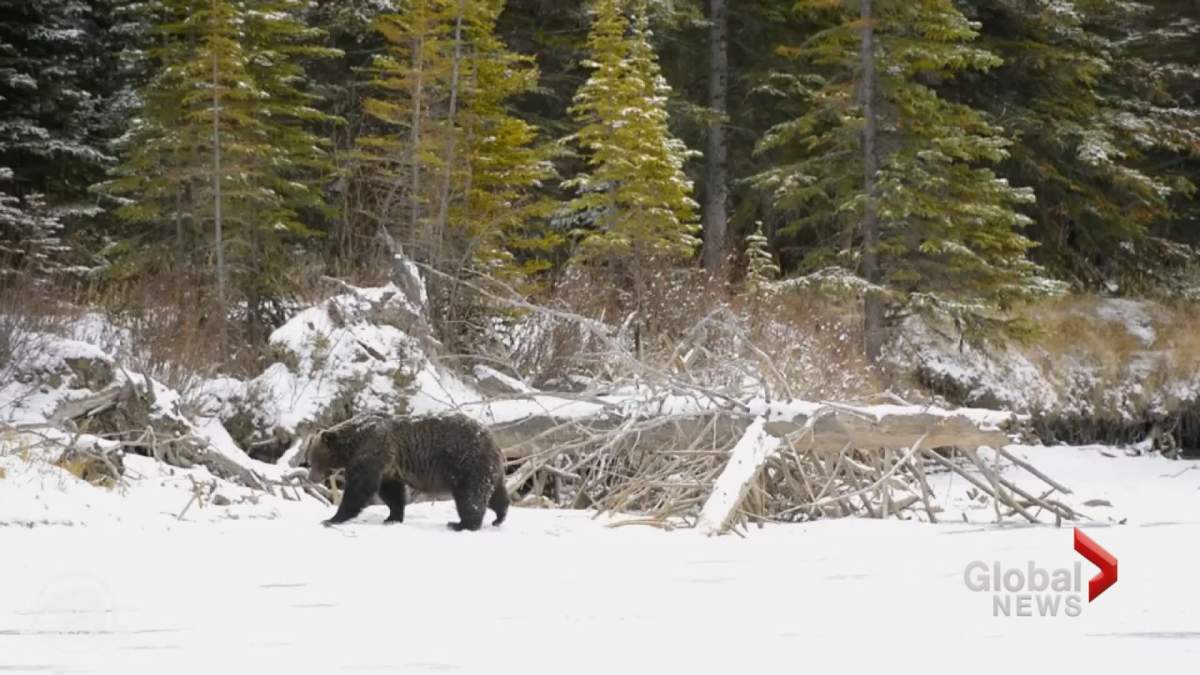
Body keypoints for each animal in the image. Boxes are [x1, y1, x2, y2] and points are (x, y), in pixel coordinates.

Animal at [304, 413, 509, 531]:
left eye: (314, 461)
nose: (310, 478)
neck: (354, 443)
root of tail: (493, 440)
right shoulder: (388, 467)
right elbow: (391, 492)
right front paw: (392, 517)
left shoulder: (373, 452)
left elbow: (359, 488)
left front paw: (332, 518)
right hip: (487, 469)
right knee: (495, 494)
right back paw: (499, 517)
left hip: (467, 463)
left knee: (470, 496)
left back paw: (461, 524)